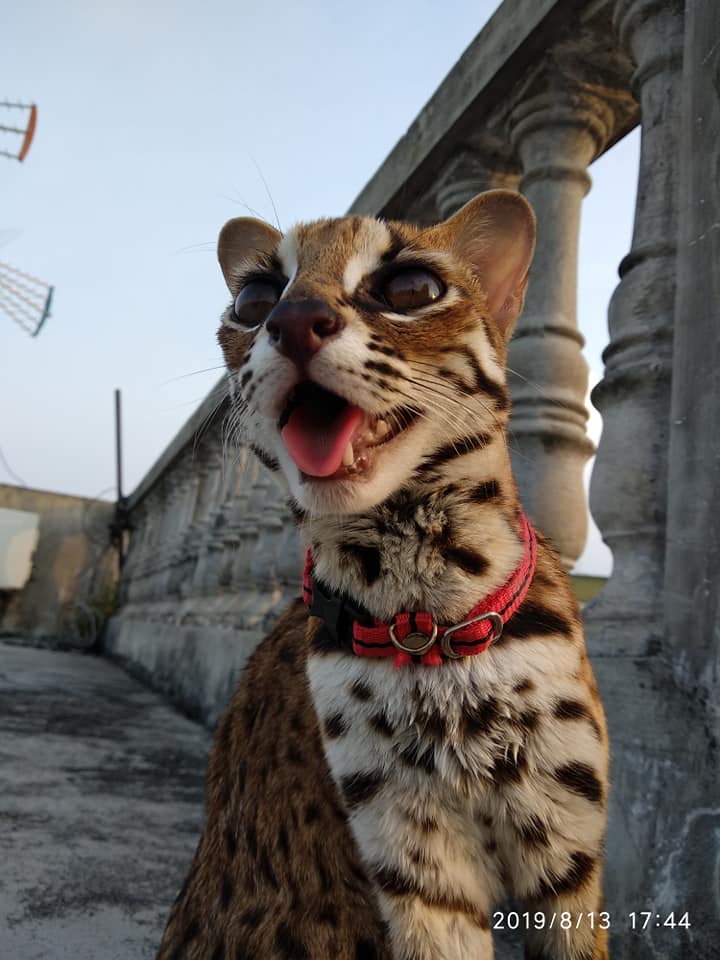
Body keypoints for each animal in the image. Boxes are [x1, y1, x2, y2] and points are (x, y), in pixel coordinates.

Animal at [156, 189, 609, 960]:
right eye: (253, 298)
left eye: (412, 289)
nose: (293, 320)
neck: (422, 601)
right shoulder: (410, 851)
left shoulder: (566, 845)